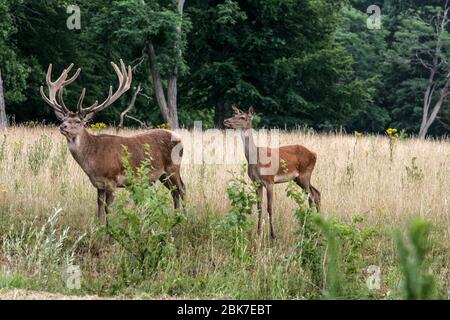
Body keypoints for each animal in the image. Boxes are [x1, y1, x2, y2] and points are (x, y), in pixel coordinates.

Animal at [39, 60, 185, 225]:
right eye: (63, 119)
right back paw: (176, 219)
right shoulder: (98, 184)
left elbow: (109, 209)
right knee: (174, 192)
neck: (93, 161)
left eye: (77, 121)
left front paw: (110, 230)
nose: (62, 126)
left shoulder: (112, 180)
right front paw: (100, 228)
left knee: (182, 189)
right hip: (162, 175)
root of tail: (180, 139)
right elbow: (99, 209)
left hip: (173, 167)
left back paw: (186, 218)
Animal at [223, 106, 318, 239]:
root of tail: (314, 154)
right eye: (234, 114)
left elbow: (270, 207)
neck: (256, 158)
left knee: (312, 196)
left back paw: (311, 227)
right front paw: (258, 233)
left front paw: (273, 236)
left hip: (305, 174)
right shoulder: (256, 182)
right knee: (316, 193)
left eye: (242, 117)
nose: (226, 121)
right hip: (298, 178)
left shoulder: (269, 181)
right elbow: (259, 207)